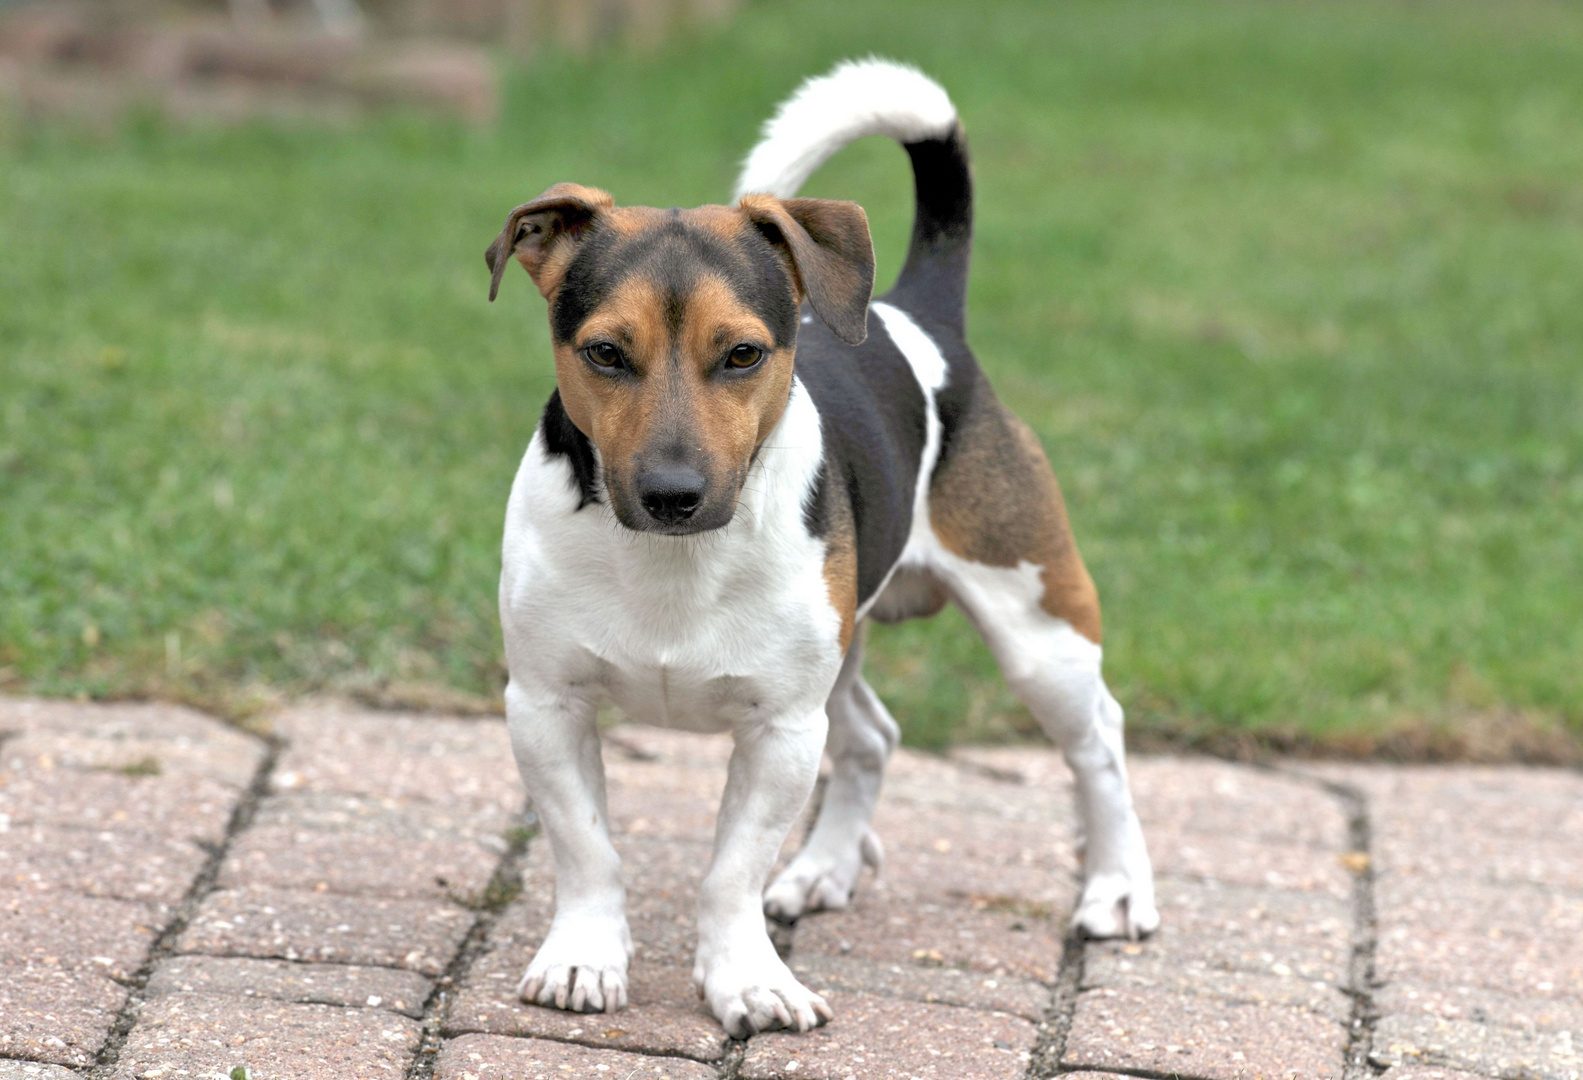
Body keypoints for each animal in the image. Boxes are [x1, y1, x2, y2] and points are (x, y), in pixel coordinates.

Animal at [487, 58, 1158, 1032]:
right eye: (605, 352)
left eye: (742, 354)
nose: (673, 495)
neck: (672, 562)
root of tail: (922, 316)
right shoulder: (545, 704)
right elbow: (587, 848)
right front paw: (584, 958)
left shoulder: (781, 727)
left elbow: (730, 869)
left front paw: (746, 979)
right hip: (845, 652)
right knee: (873, 736)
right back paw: (823, 871)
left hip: (1038, 631)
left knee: (1096, 743)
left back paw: (1116, 887)